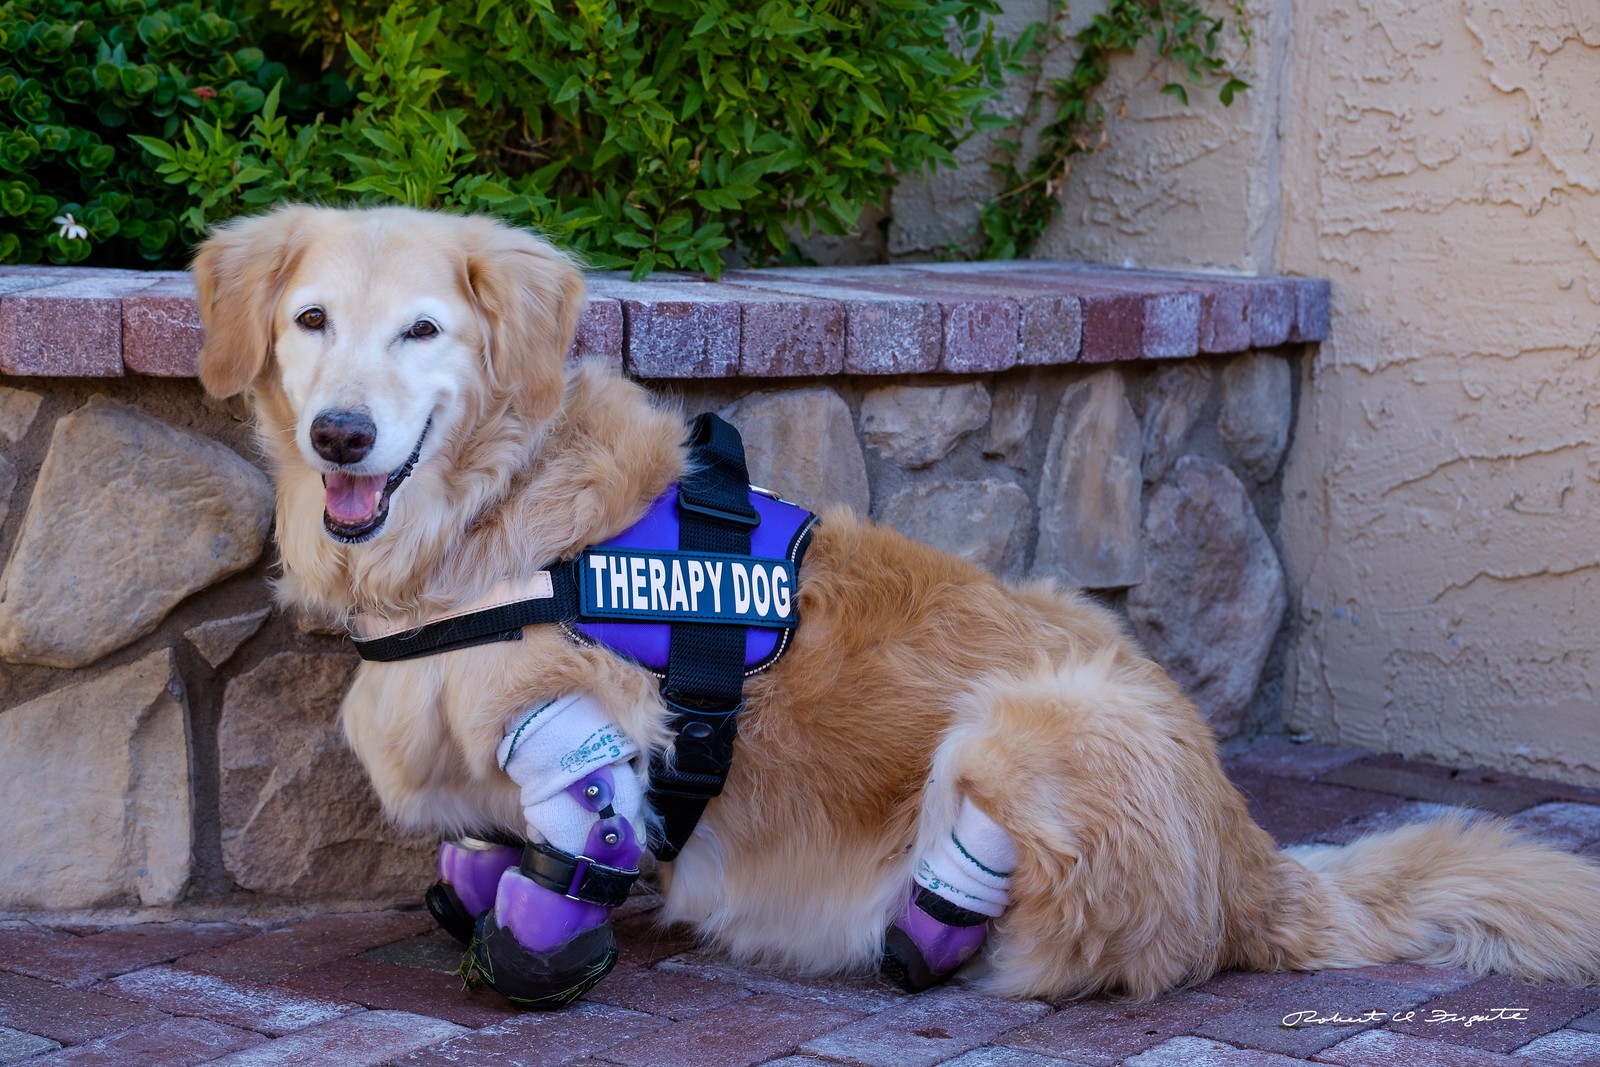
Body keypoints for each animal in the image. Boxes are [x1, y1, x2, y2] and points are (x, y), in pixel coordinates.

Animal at [196, 202, 1600, 1011]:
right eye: (312, 319)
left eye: (424, 331)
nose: (340, 434)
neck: (488, 510)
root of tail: (1251, 862)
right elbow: (476, 840)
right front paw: (478, 881)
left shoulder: (581, 706)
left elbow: (575, 807)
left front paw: (541, 932)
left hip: (1033, 709)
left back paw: (919, 929)